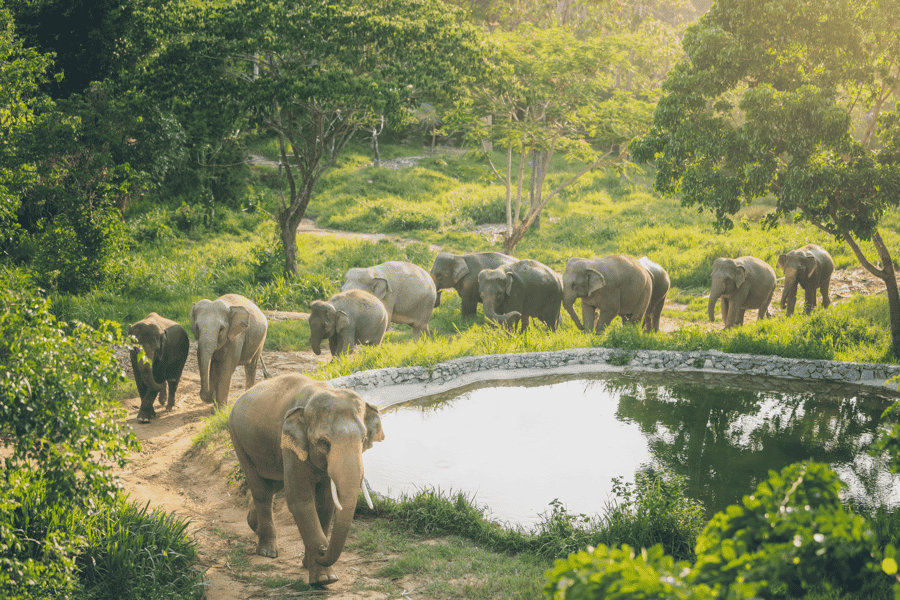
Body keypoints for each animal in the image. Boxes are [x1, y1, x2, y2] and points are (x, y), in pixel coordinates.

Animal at [228, 374, 384, 586]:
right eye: (323, 442)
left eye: (363, 439)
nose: (323, 550)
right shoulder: (291, 445)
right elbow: (300, 501)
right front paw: (325, 579)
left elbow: (326, 503)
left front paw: (310, 564)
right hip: (238, 440)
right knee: (261, 490)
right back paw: (267, 552)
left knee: (273, 485)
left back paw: (253, 524)